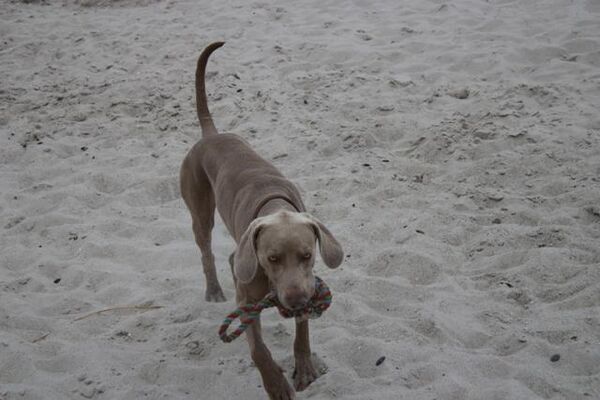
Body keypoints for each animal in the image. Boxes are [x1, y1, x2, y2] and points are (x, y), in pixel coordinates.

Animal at [179, 42, 344, 399]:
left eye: (308, 255)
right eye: (271, 259)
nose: (296, 301)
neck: (275, 205)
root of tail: (211, 134)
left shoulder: (306, 284)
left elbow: (303, 333)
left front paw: (305, 366)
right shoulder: (246, 295)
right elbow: (257, 350)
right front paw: (276, 384)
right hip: (199, 209)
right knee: (206, 250)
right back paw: (213, 289)